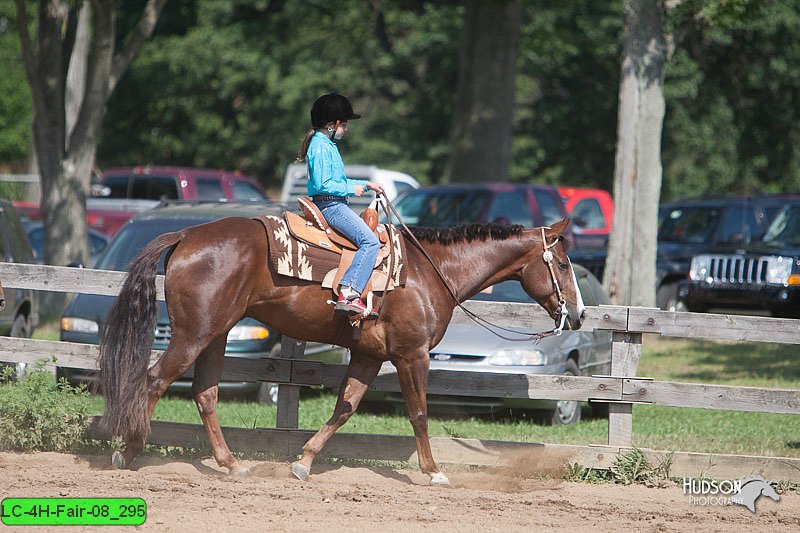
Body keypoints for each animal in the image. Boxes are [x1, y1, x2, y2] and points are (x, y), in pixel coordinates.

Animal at [97, 214, 584, 484]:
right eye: (562, 264)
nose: (578, 315)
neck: (430, 272)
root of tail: (186, 235)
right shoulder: (412, 355)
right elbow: (419, 412)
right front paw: (433, 472)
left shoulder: (369, 355)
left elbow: (344, 408)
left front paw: (304, 462)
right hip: (194, 334)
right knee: (155, 381)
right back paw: (127, 451)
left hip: (215, 335)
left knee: (206, 395)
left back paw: (232, 464)